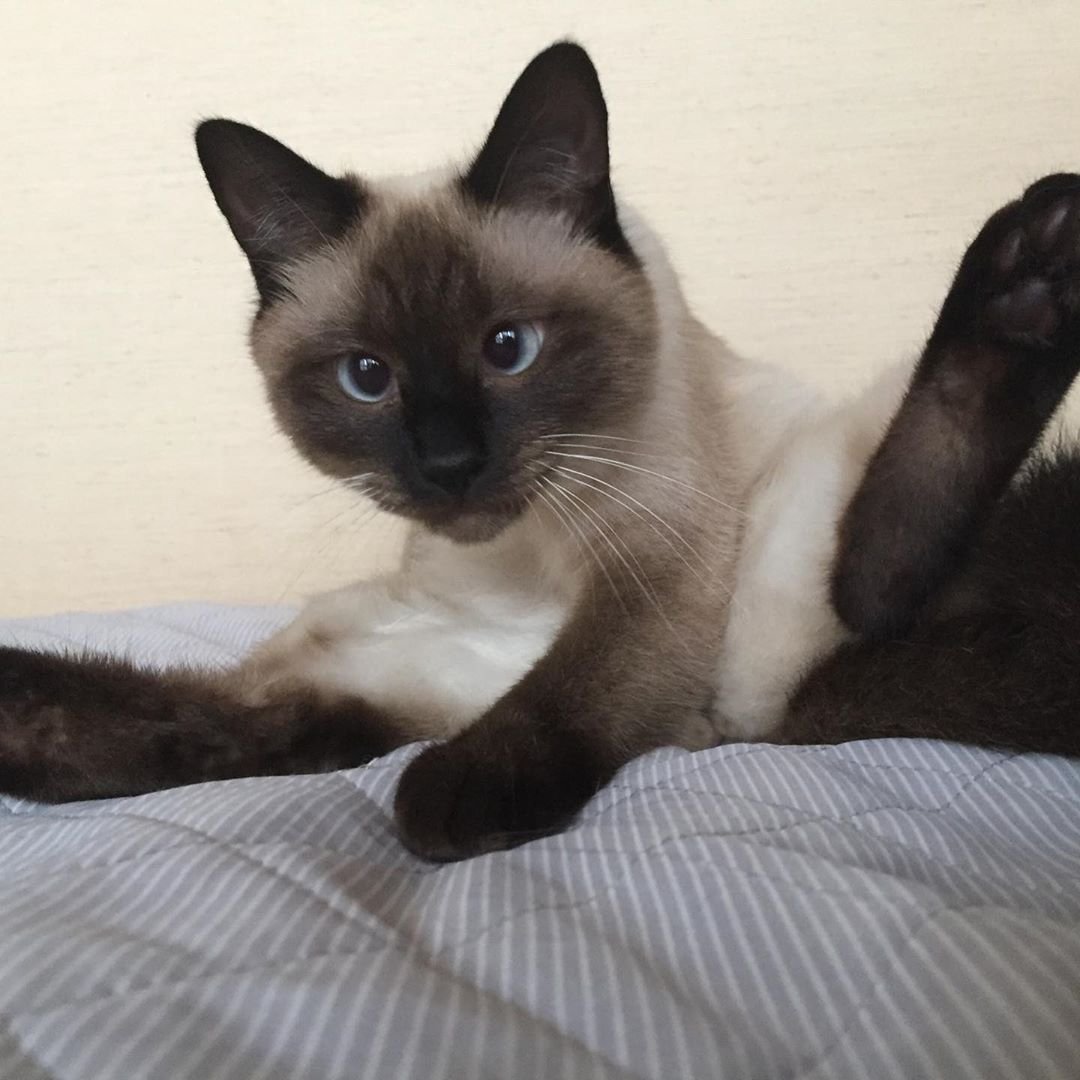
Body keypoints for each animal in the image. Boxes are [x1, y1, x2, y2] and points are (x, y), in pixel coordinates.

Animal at [2, 44, 1080, 859]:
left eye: (509, 348)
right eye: (367, 377)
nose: (448, 464)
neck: (518, 561)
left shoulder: (656, 554)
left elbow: (576, 686)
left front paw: (454, 801)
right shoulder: (344, 672)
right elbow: (174, 722)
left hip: (790, 522)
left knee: (877, 587)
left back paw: (1030, 277)